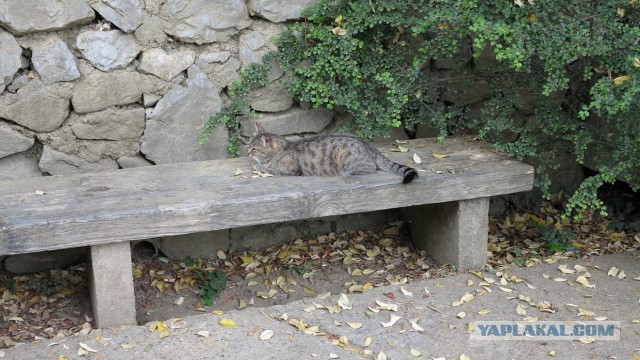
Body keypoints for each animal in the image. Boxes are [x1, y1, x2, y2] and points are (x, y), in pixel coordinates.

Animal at [248, 124, 418, 186]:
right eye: (249, 144)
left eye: (254, 149)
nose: (248, 152)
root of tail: (371, 148)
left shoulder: (292, 171)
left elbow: (270, 168)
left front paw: (259, 165)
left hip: (341, 152)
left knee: (370, 168)